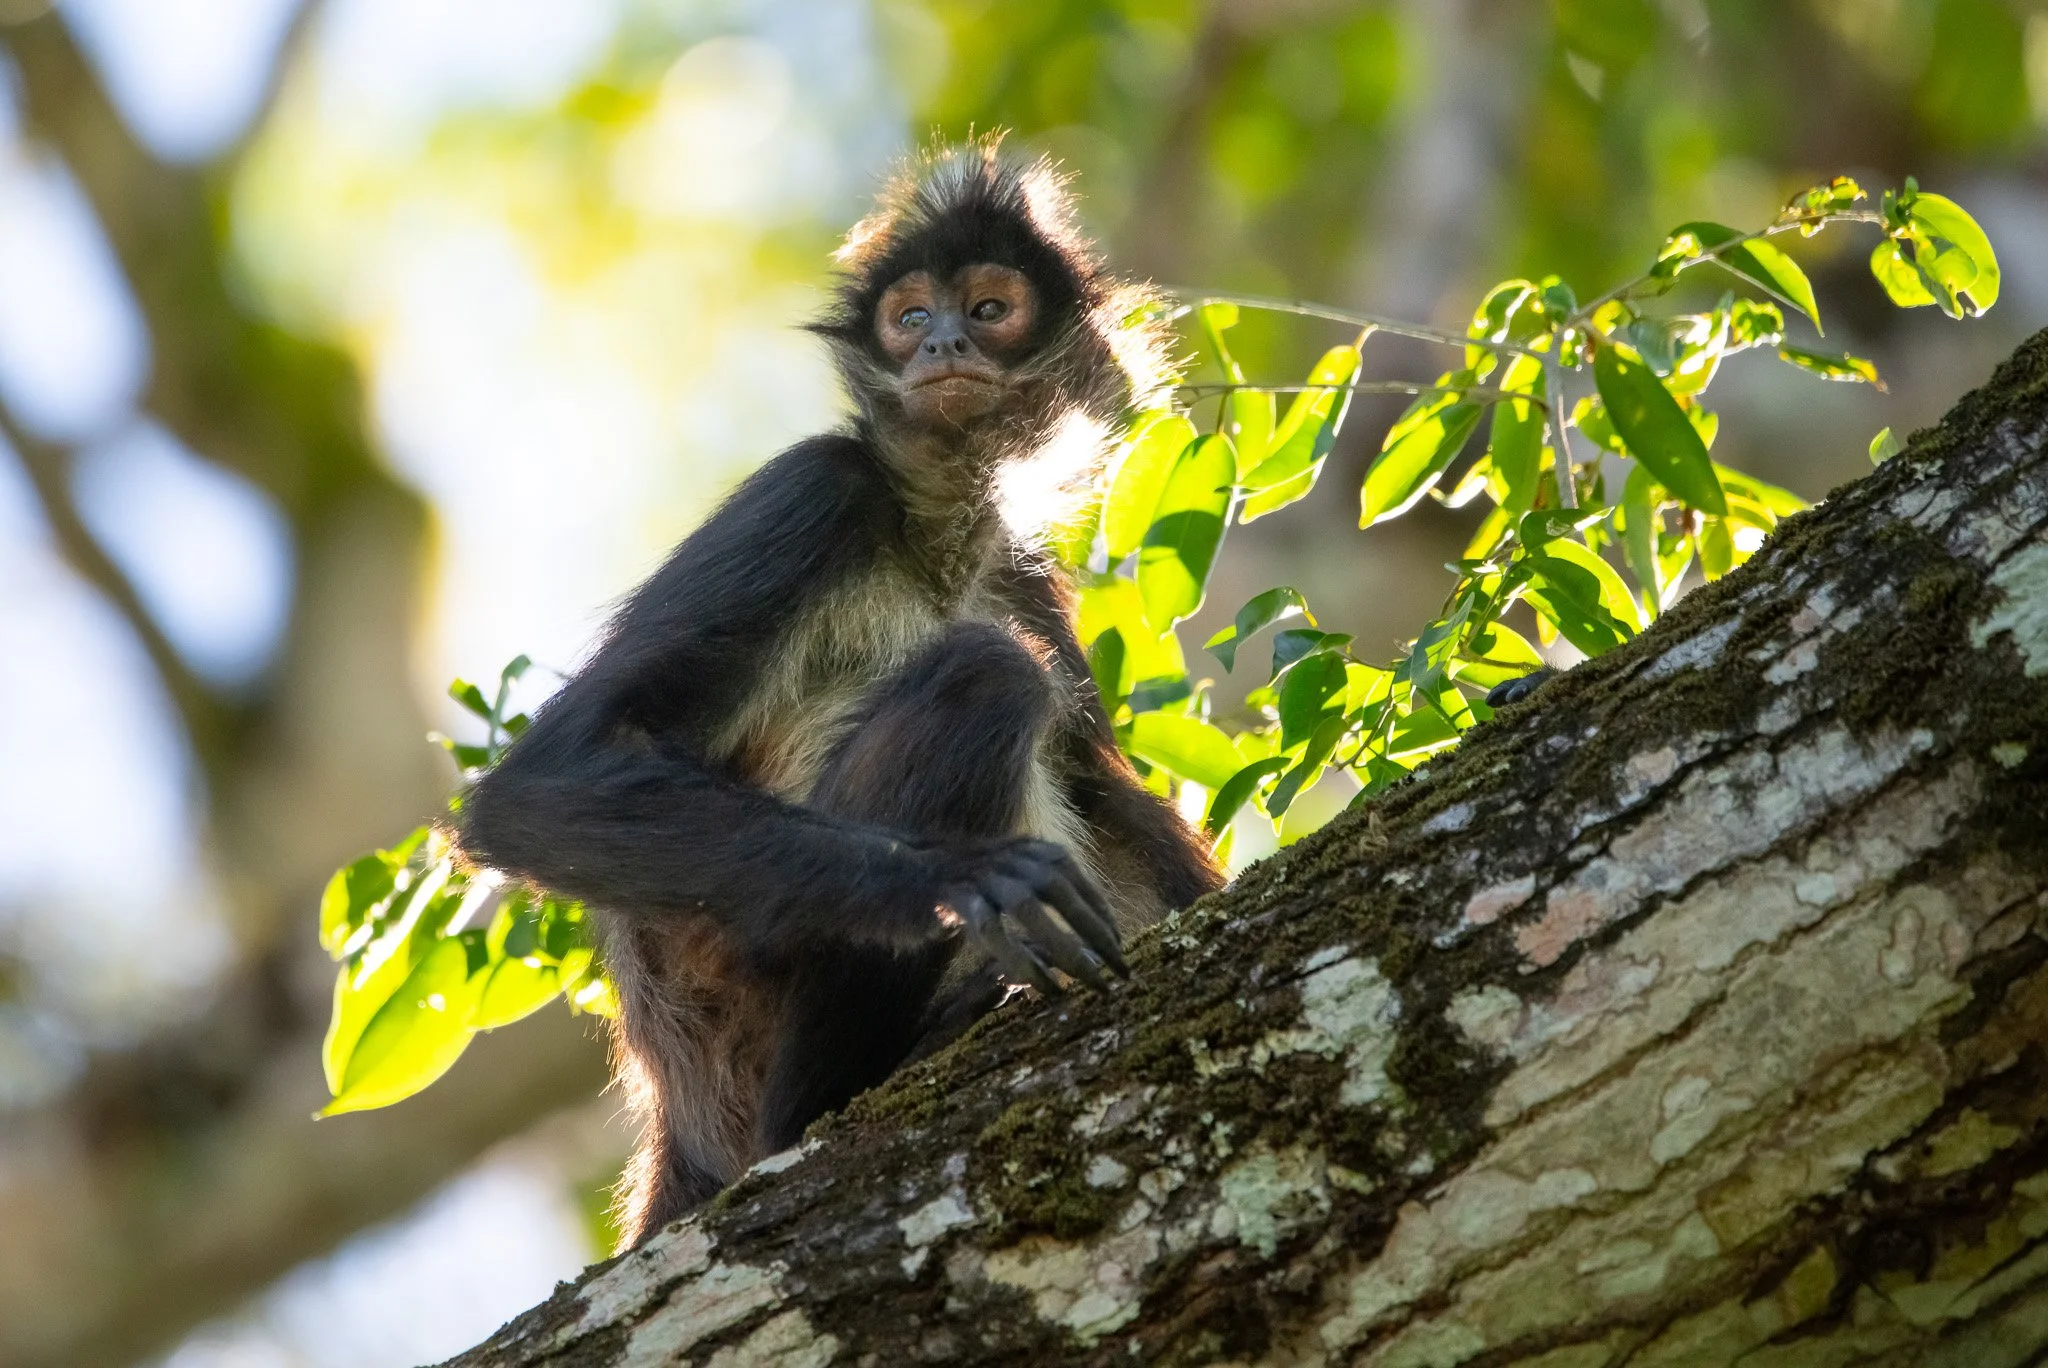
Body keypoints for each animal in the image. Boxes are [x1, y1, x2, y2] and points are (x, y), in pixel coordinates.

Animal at [460, 143, 1223, 1248]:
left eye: (989, 307)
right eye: (909, 316)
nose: (943, 340)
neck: (932, 537)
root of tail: (683, 1119)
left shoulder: (1021, 575)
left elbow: (1101, 782)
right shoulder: (813, 489)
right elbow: (539, 788)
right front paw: (955, 882)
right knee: (988, 675)